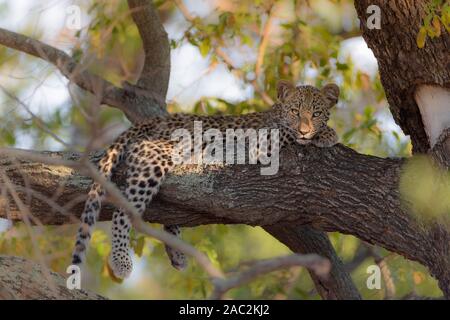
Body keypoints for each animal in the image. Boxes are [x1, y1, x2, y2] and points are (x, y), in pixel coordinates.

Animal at [71, 80, 338, 280]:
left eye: (316, 113)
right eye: (295, 111)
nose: (305, 130)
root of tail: (153, 121)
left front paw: (321, 132)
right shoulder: (261, 142)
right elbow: (286, 132)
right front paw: (327, 133)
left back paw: (176, 253)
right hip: (157, 157)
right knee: (123, 211)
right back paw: (121, 261)